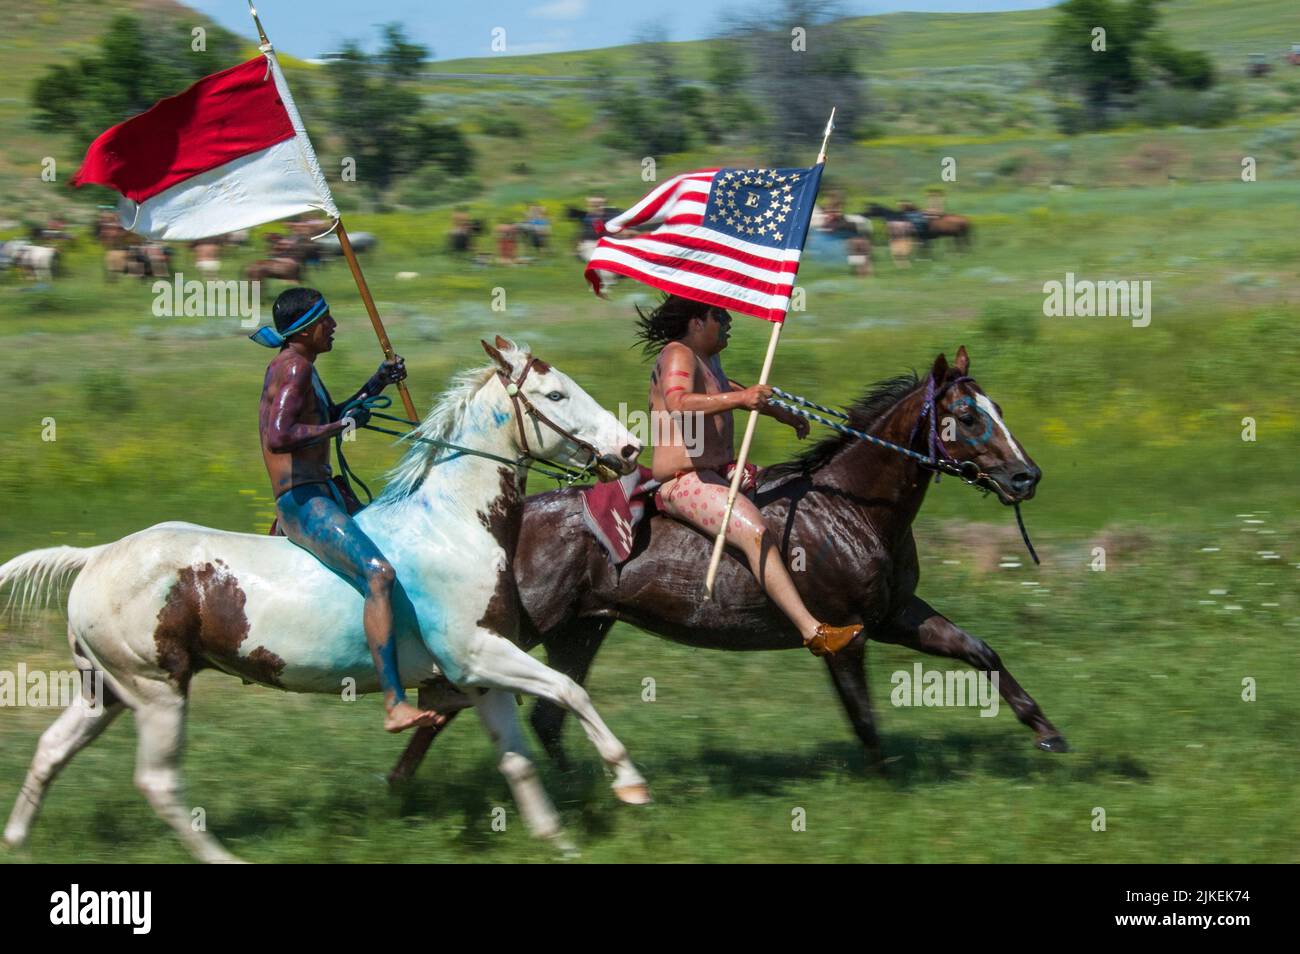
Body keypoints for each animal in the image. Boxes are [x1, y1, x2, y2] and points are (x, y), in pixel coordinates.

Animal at [0, 340, 650, 863]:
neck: (456, 526)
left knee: (51, 750)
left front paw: (559, 841)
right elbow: (569, 690)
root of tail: (95, 556)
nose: (630, 447)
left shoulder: (478, 674)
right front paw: (628, 780)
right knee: (157, 784)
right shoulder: (476, 654)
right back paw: (222, 857)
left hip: (105, 690)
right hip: (158, 691)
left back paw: (17, 841)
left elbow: (516, 758)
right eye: (555, 393)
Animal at [387, 348, 1066, 790]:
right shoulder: (845, 633)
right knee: (452, 701)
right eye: (967, 416)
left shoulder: (898, 613)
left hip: (582, 629)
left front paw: (1048, 733)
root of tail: (497, 518)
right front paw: (886, 788)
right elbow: (865, 718)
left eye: (994, 406)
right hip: (515, 629)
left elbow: (981, 652)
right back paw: (403, 781)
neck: (850, 509)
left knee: (547, 714)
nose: (1026, 476)